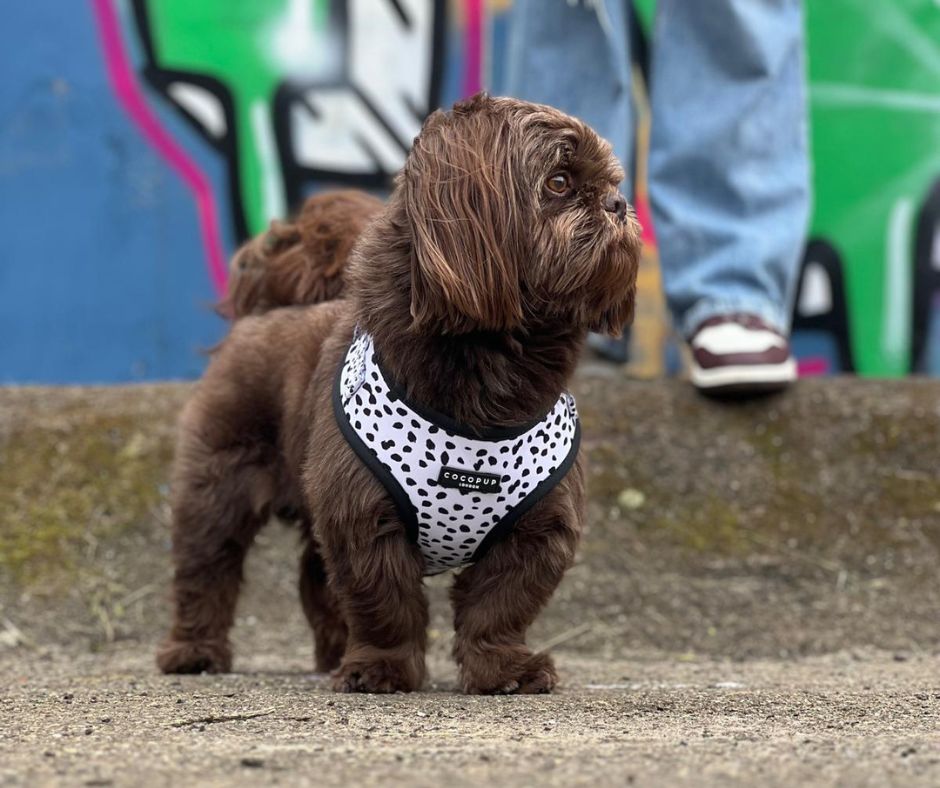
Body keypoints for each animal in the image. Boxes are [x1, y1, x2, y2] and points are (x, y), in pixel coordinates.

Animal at [156, 94, 640, 696]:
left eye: (612, 182)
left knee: (315, 579)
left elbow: (500, 604)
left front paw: (504, 669)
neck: (492, 377)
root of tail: (271, 308)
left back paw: (332, 652)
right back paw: (195, 650)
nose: (618, 203)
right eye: (558, 181)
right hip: (219, 482)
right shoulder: (363, 515)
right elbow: (383, 598)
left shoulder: (538, 529)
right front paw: (382, 666)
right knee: (207, 567)